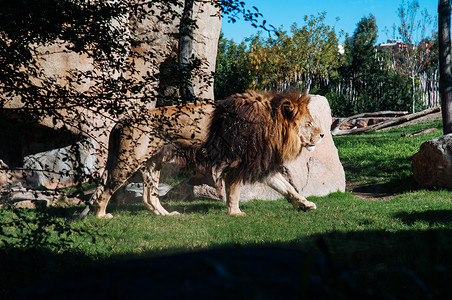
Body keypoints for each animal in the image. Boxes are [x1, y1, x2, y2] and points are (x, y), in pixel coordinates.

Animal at [92, 89, 324, 218]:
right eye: (308, 123)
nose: (322, 134)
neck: (270, 124)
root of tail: (121, 121)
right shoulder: (236, 163)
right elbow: (234, 191)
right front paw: (235, 213)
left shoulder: (259, 163)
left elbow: (287, 188)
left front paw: (305, 204)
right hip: (127, 160)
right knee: (105, 188)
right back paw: (101, 215)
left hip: (152, 163)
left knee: (149, 197)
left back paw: (166, 215)